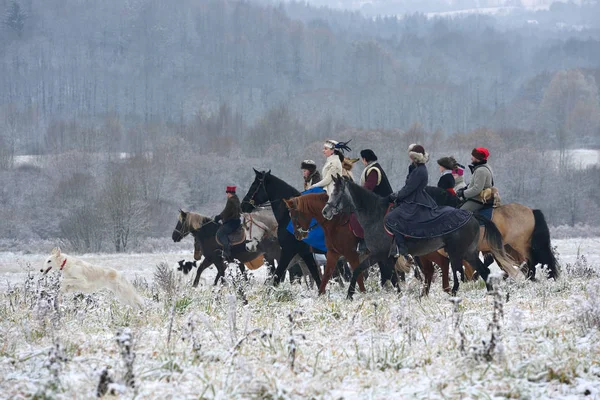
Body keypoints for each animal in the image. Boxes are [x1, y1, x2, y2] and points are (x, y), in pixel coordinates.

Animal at [324, 175, 520, 296]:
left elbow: (361, 270)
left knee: (458, 274)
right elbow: (390, 277)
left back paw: (454, 294)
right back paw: (489, 294)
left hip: (456, 252)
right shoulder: (387, 257)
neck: (375, 215)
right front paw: (398, 295)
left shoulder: (379, 254)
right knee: (483, 271)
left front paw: (350, 294)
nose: (325, 211)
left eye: (336, 192)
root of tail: (471, 215)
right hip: (468, 253)